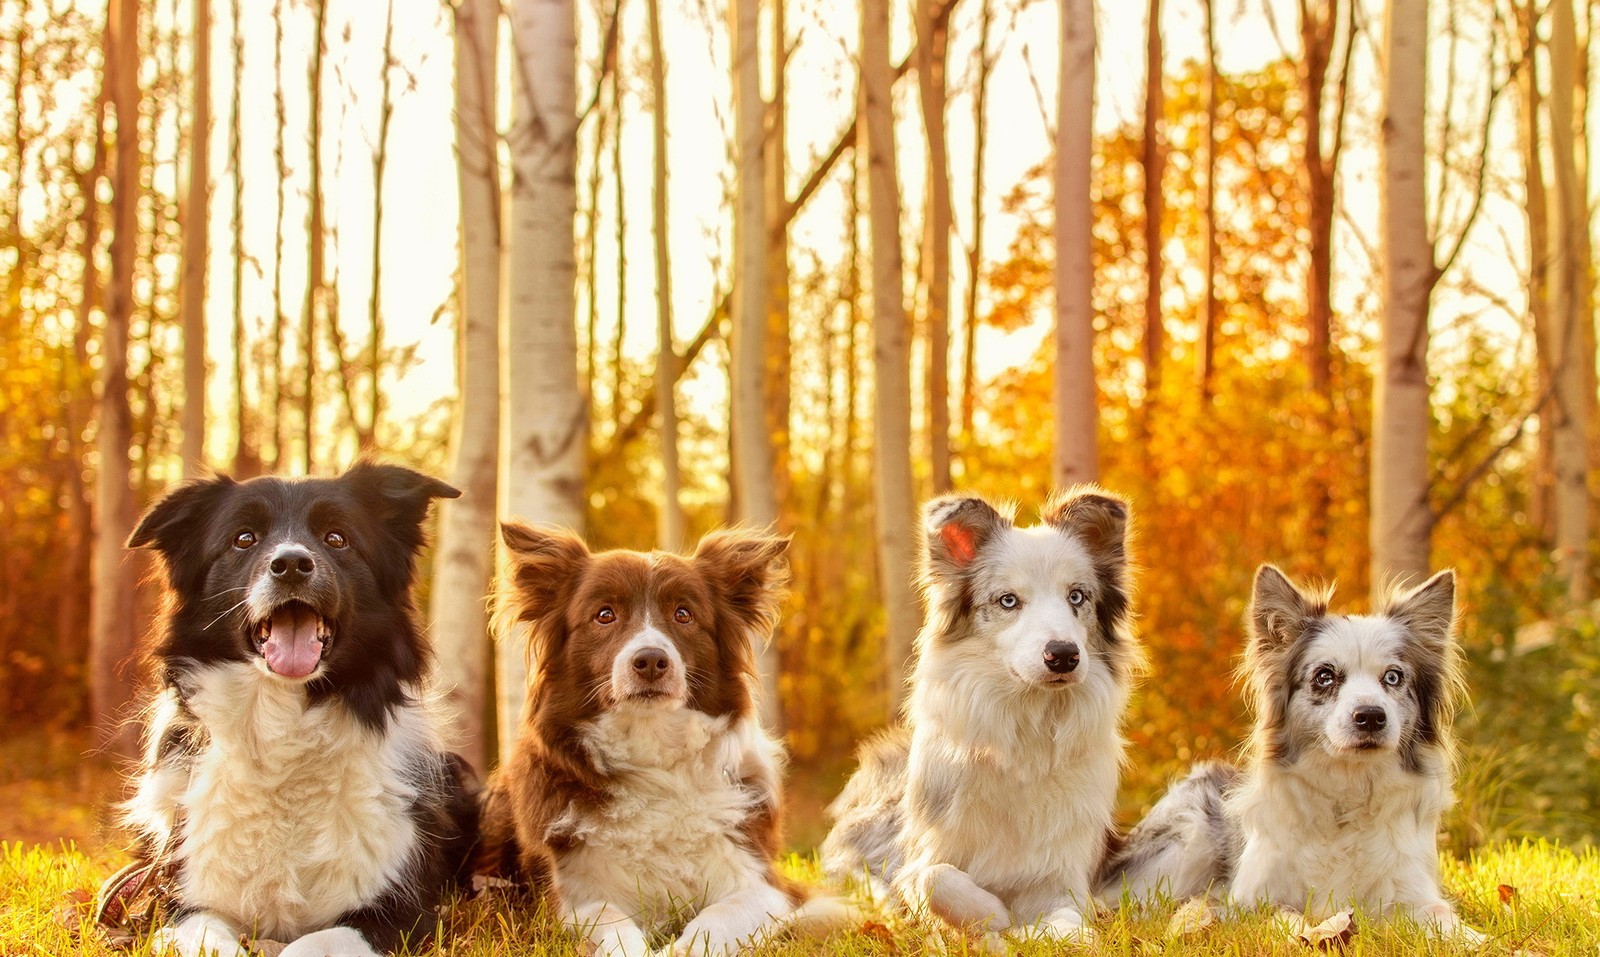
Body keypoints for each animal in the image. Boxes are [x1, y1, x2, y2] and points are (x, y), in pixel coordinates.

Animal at [121, 464, 476, 957]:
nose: (291, 564)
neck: (284, 733)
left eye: (337, 538)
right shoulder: (176, 900)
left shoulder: (402, 912)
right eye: (243, 538)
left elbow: (315, 942)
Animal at [473, 524, 851, 957]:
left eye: (683, 614)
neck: (653, 753)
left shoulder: (769, 884)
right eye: (604, 615)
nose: (651, 661)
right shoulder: (569, 894)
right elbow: (610, 922)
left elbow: (719, 917)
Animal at [825, 492, 1139, 947]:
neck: (1027, 729)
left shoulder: (1064, 873)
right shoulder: (922, 856)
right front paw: (994, 915)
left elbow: (1069, 919)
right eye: (1008, 600)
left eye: (1077, 597)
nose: (1063, 655)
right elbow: (933, 877)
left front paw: (1055, 931)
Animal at [1100, 563, 1484, 947]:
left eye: (1393, 677)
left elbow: (1443, 917)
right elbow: (1285, 916)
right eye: (1324, 677)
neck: (1348, 789)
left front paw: (1477, 940)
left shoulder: (1413, 893)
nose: (1371, 716)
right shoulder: (1249, 902)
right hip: (1187, 840)